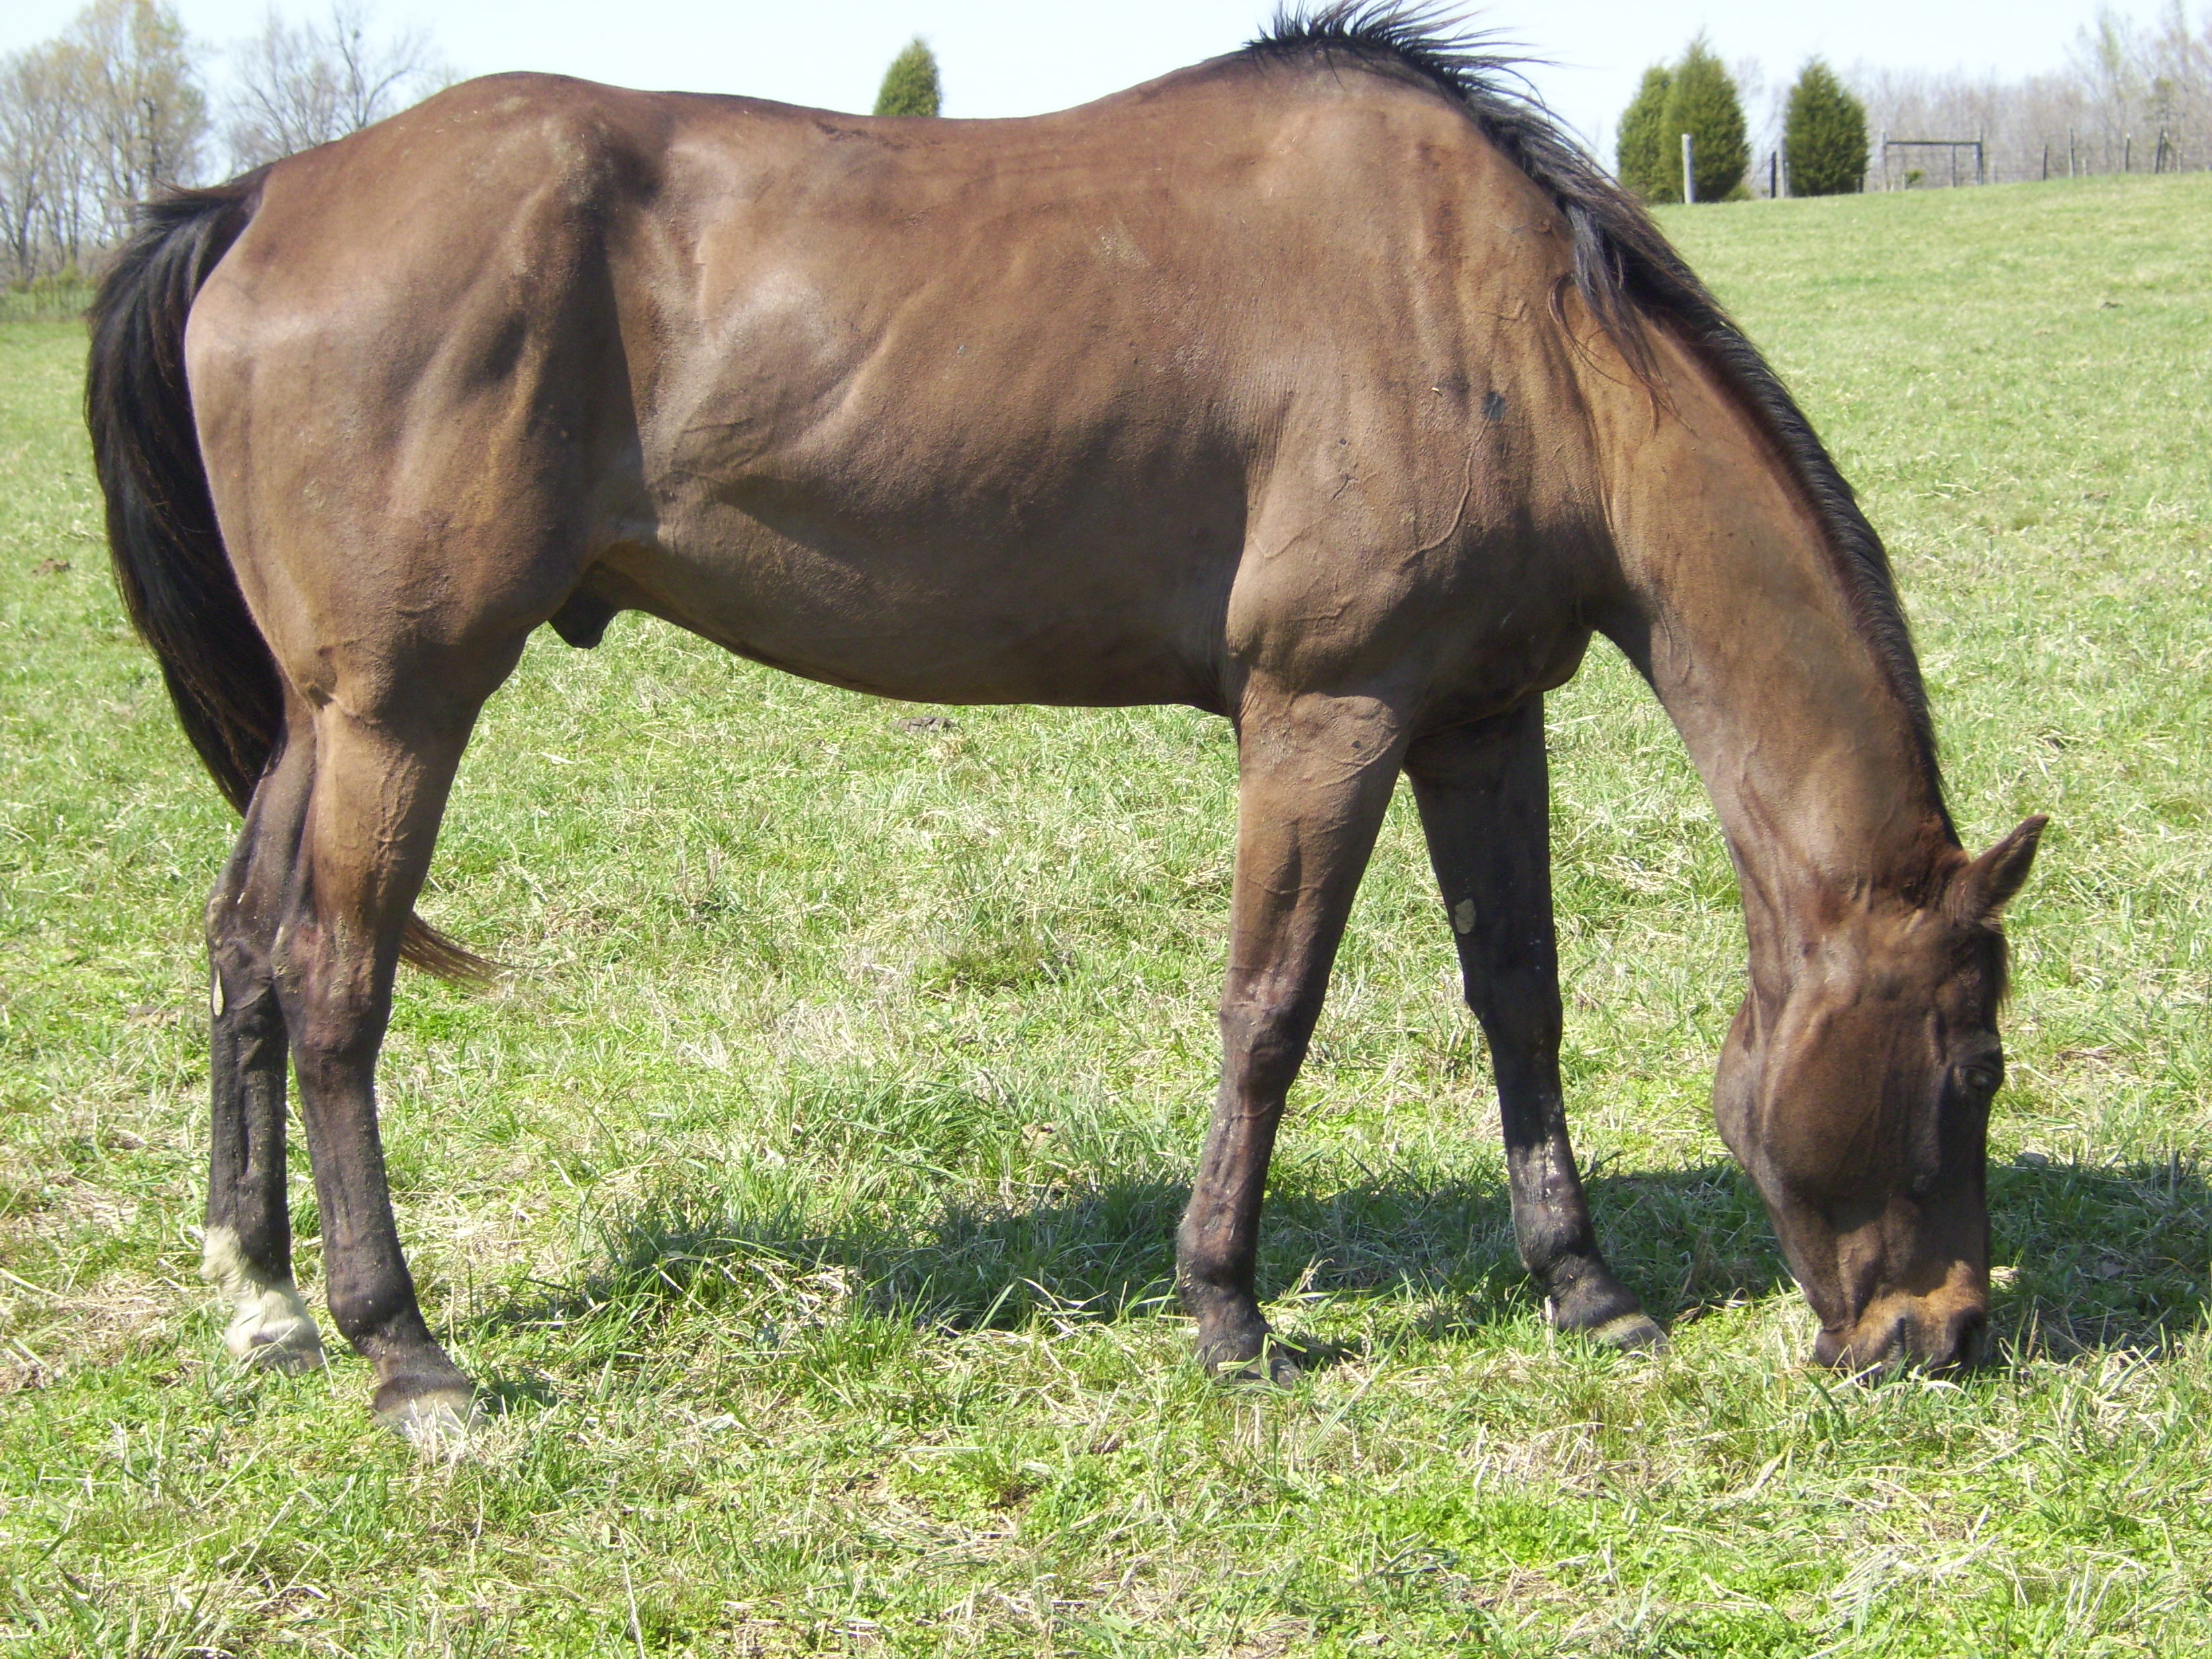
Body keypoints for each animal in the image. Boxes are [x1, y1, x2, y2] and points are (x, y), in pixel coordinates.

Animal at [95, 3, 2044, 1442]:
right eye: (1971, 1070)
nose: (1941, 1335)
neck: (1515, 331)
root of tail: (258, 196)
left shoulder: (1481, 714)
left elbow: (1519, 999)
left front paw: (1584, 1288)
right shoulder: (1324, 713)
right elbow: (1271, 1012)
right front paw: (1228, 1310)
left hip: (323, 718)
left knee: (246, 944)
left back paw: (264, 1301)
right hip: (400, 707)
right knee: (335, 985)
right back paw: (403, 1349)